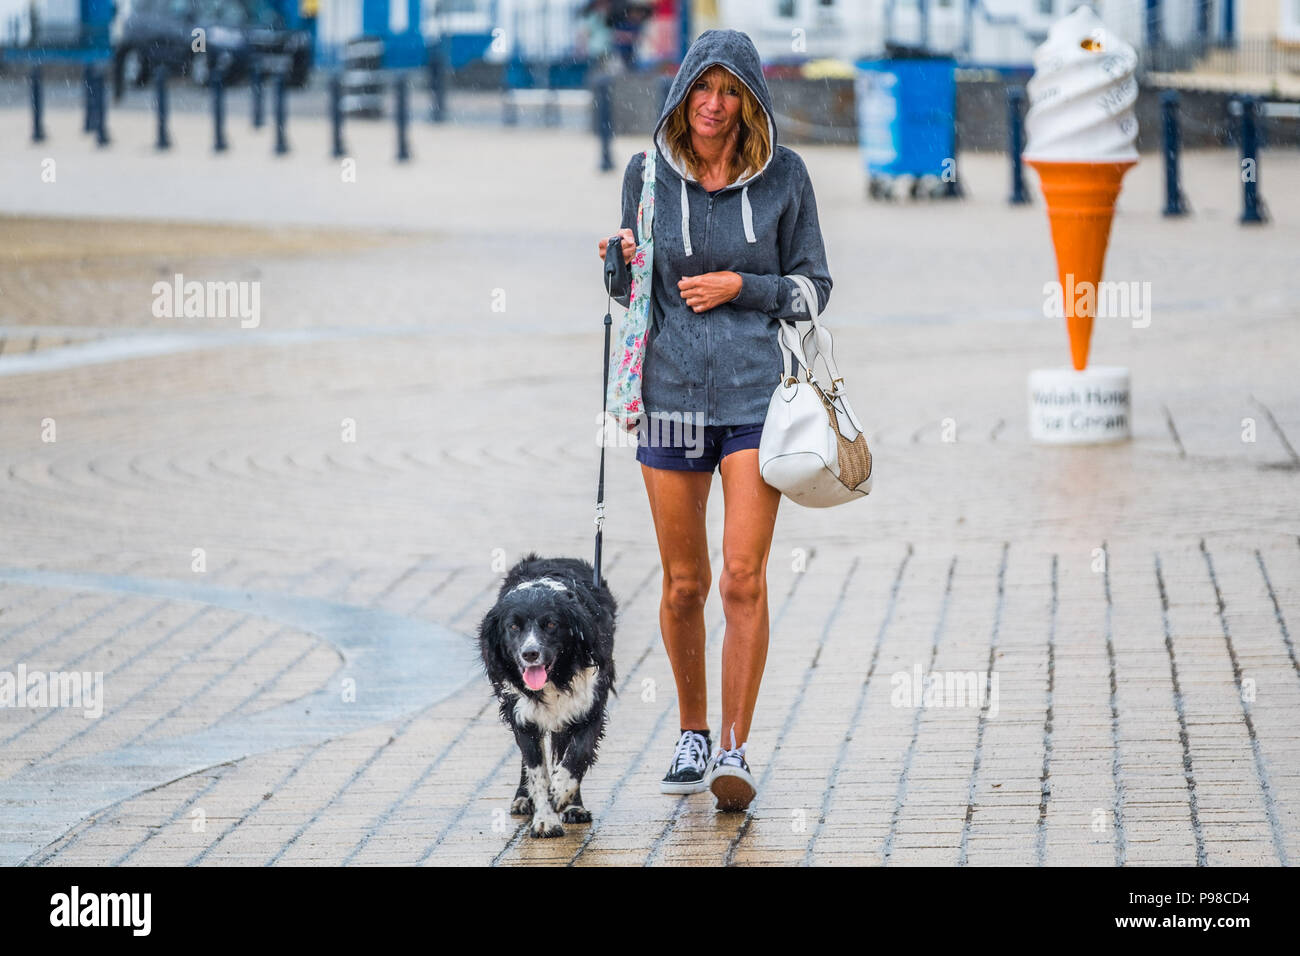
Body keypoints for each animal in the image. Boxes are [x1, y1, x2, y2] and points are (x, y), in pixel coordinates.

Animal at [478, 554, 618, 837]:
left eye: (552, 624)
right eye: (513, 626)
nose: (530, 654)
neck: (556, 678)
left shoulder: (590, 708)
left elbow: (576, 756)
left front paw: (562, 794)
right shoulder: (521, 714)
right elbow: (537, 770)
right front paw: (545, 818)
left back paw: (573, 806)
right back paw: (523, 798)